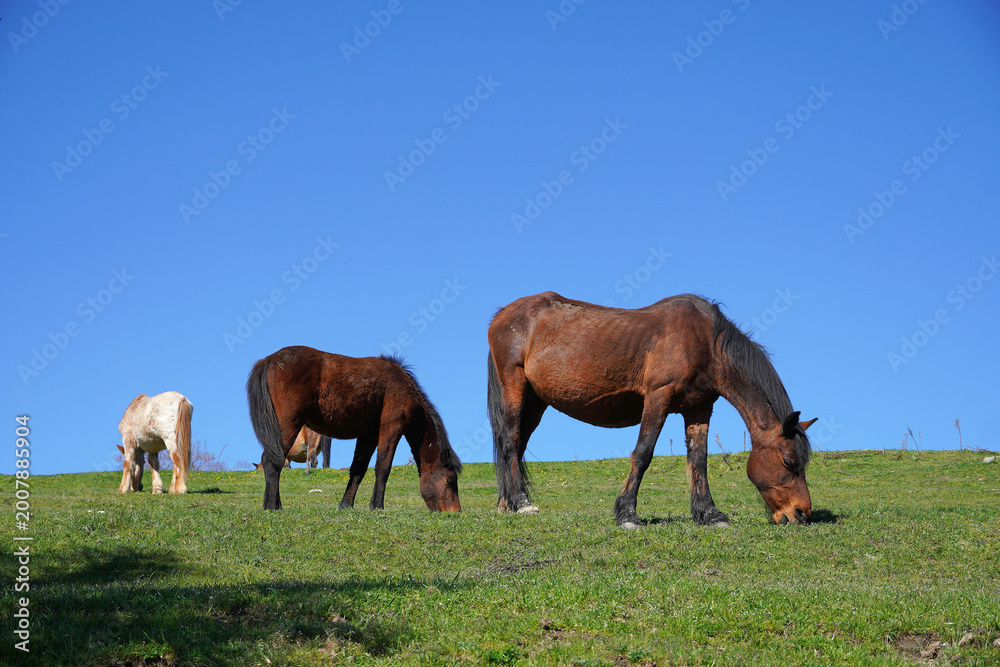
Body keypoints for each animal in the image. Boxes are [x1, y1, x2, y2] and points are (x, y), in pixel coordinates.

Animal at [246, 346, 462, 512]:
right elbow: (383, 468)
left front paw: (346, 505)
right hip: (288, 424)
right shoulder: (392, 428)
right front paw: (377, 506)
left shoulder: (368, 436)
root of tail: (270, 360)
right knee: (272, 461)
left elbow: (358, 470)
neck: (405, 388)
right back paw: (272, 506)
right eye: (450, 481)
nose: (455, 512)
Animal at [487, 292, 816, 528]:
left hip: (535, 401)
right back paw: (521, 503)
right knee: (510, 441)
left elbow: (699, 460)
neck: (704, 341)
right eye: (789, 461)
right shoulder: (658, 397)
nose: (801, 513)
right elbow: (643, 453)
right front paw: (627, 514)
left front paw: (708, 513)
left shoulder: (699, 409)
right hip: (514, 384)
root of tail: (502, 314)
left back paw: (508, 503)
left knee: (517, 445)